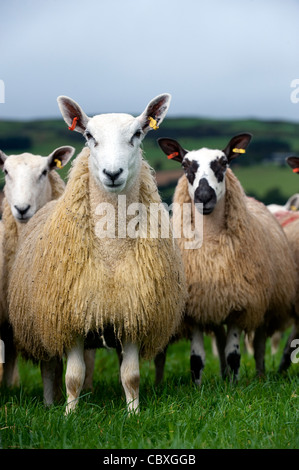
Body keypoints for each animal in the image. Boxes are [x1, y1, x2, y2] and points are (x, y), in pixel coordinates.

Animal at [157, 134, 298, 384]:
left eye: (223, 163)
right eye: (185, 165)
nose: (204, 197)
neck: (211, 244)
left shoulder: (240, 306)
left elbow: (234, 355)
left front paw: (234, 386)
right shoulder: (194, 308)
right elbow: (197, 359)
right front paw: (198, 387)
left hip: (263, 307)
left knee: (259, 345)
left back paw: (260, 376)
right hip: (215, 304)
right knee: (220, 339)